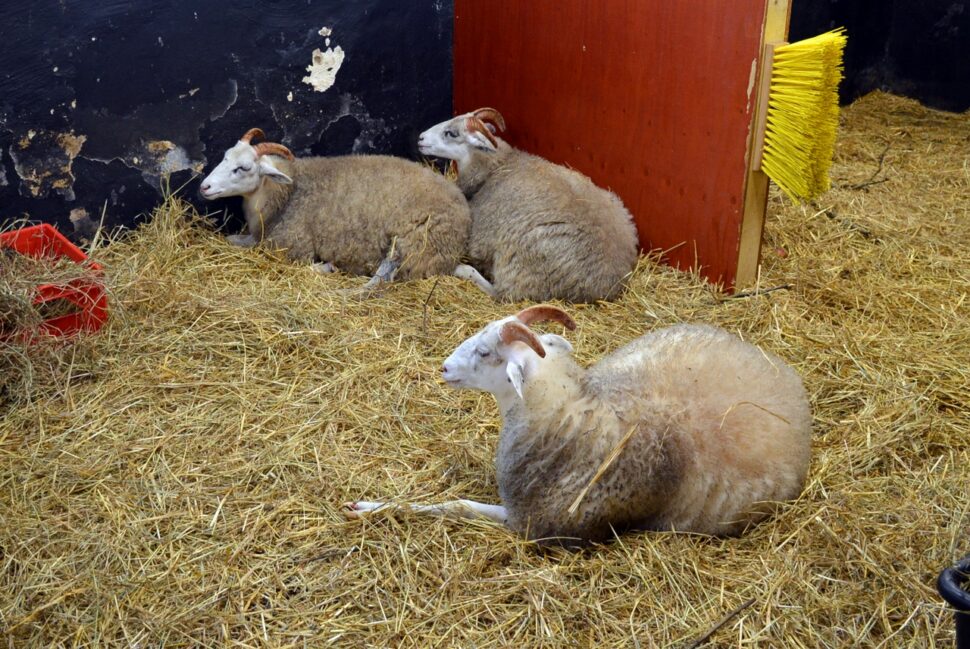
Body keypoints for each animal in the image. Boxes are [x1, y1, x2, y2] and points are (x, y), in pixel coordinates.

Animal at [199, 128, 472, 288]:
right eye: (225, 156)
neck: (286, 193)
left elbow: (295, 263)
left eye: (243, 168)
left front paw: (325, 267)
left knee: (380, 280)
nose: (205, 187)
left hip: (412, 244)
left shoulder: (292, 246)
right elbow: (233, 240)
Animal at [345, 305, 813, 545]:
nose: (444, 368)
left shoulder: (531, 524)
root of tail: (790, 389)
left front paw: (372, 507)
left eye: (484, 352)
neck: (569, 413)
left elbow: (457, 506)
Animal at [417, 108, 640, 303]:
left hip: (520, 269)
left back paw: (461, 269)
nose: (420, 138)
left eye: (451, 133)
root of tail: (607, 285)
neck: (497, 166)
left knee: (500, 293)